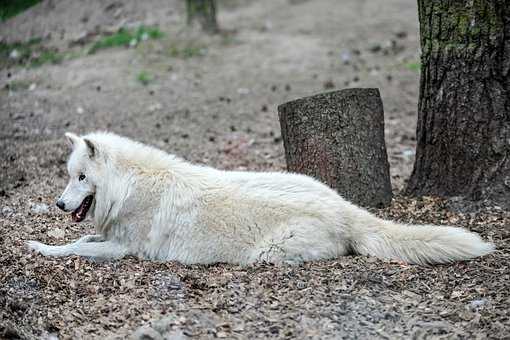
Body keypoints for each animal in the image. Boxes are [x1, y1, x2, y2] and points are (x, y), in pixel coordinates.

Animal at [26, 131, 494, 264]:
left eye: (81, 177)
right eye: (68, 177)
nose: (60, 205)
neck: (128, 186)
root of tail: (344, 207)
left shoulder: (123, 250)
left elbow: (75, 247)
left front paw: (40, 247)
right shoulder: (111, 237)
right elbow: (82, 238)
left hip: (268, 254)